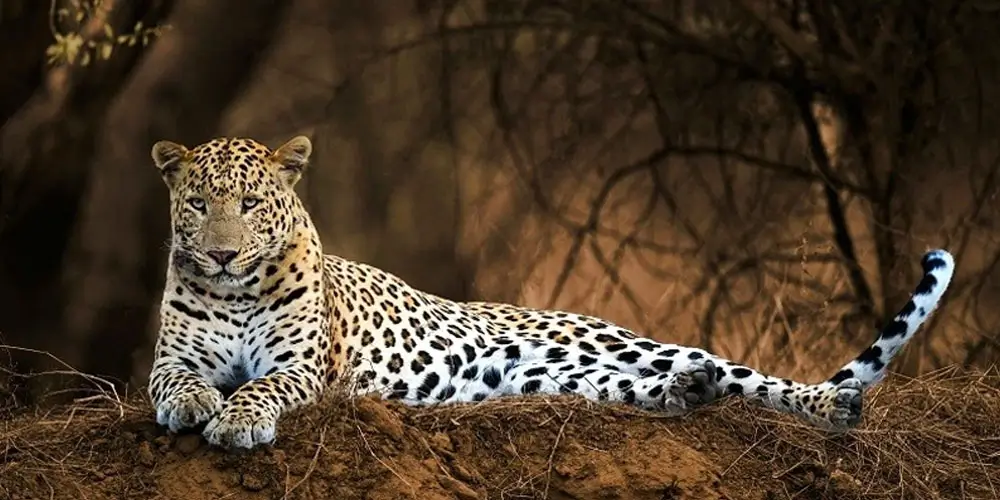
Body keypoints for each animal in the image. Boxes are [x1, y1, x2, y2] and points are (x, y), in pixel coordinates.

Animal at [147, 135, 956, 449]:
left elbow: (262, 386)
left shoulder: (301, 365)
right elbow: (180, 379)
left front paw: (235, 420)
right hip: (550, 375)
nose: (221, 253)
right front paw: (194, 406)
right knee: (669, 386)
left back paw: (831, 405)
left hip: (620, 342)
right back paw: (684, 394)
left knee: (751, 376)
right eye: (199, 203)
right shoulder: (171, 355)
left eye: (251, 204)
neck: (236, 294)